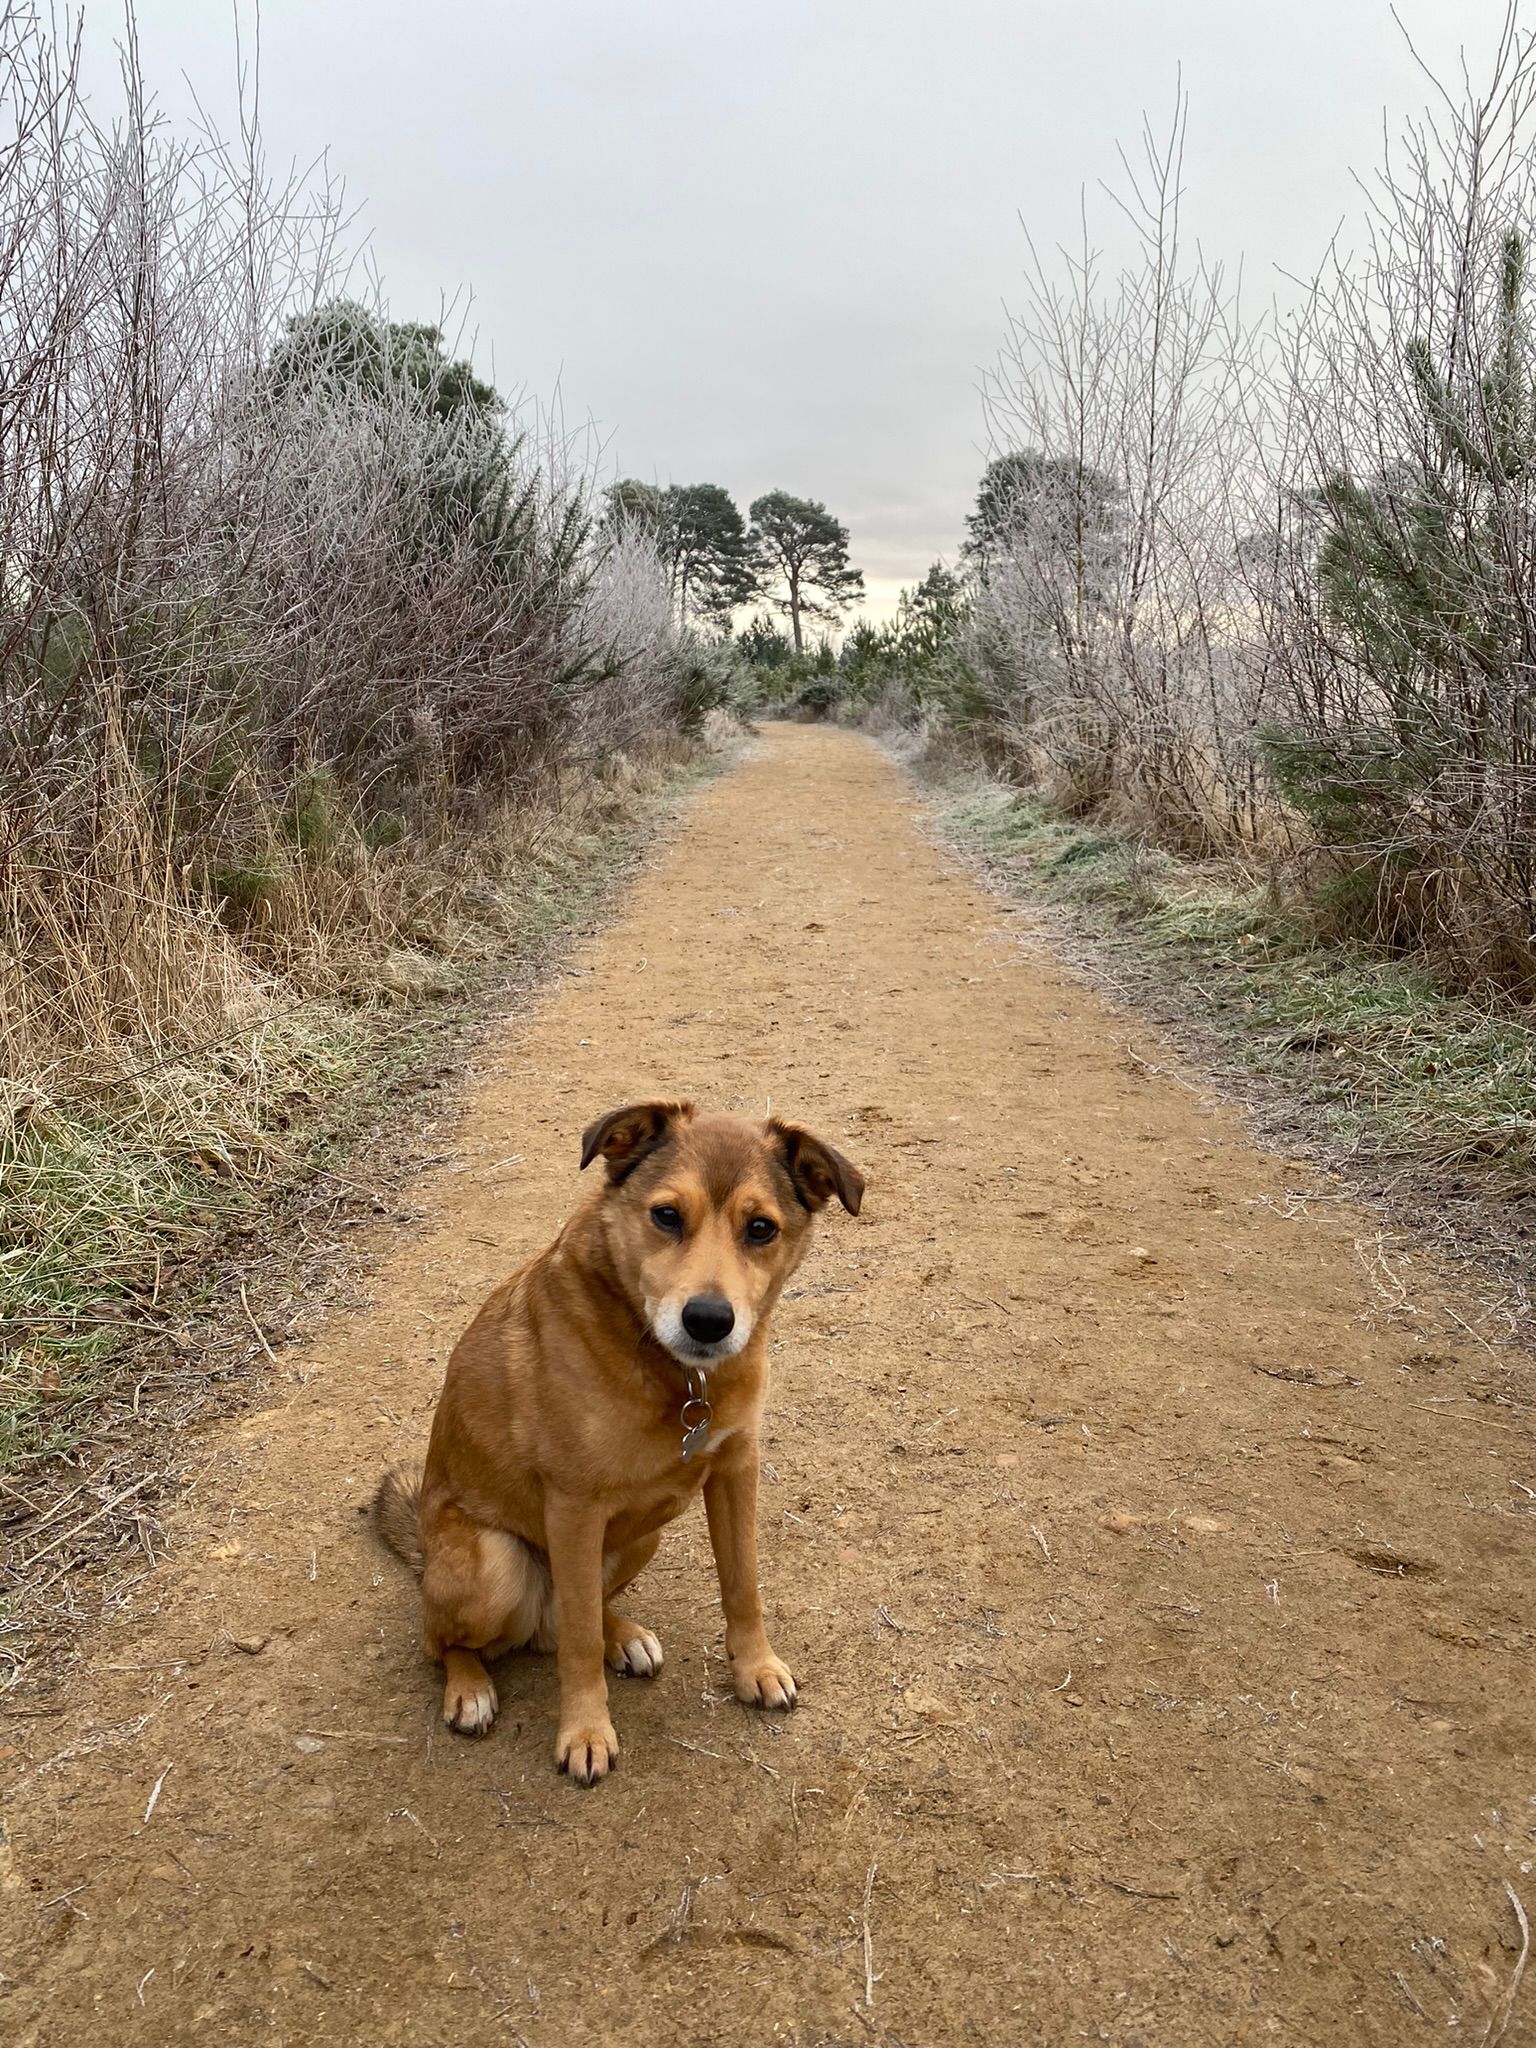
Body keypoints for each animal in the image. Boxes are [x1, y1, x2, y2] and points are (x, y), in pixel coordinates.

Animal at [368, 1097, 860, 1785]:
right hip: (497, 1564)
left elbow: (743, 1585)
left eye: (761, 1228)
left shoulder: (736, 1468)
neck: (680, 1376)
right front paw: (584, 1731)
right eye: (666, 1215)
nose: (708, 1320)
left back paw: (621, 1634)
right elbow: (577, 1642)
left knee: (571, 1614)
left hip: (640, 1534)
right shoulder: (574, 1508)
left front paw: (755, 1669)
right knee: (449, 1639)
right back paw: (469, 1687)